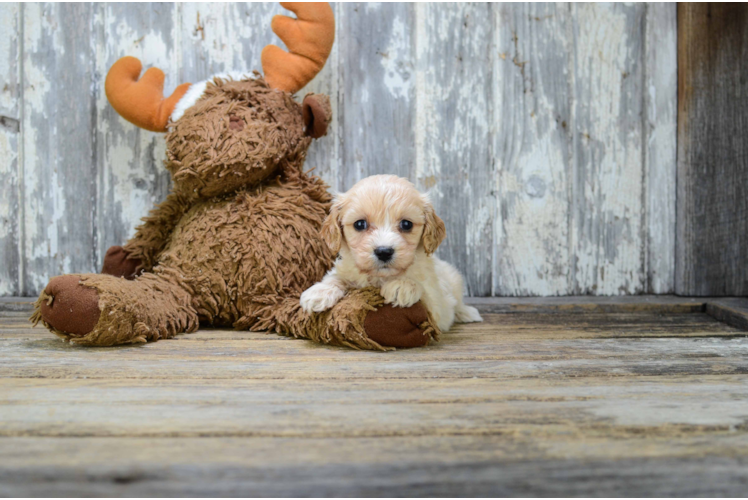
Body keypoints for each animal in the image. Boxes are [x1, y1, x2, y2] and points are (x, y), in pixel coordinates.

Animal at [300, 174, 482, 334]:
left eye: (406, 224)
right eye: (360, 224)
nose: (384, 252)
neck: (381, 277)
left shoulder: (439, 305)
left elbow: (425, 294)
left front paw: (403, 286)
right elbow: (336, 277)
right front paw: (319, 292)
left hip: (455, 280)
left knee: (458, 303)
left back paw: (466, 312)